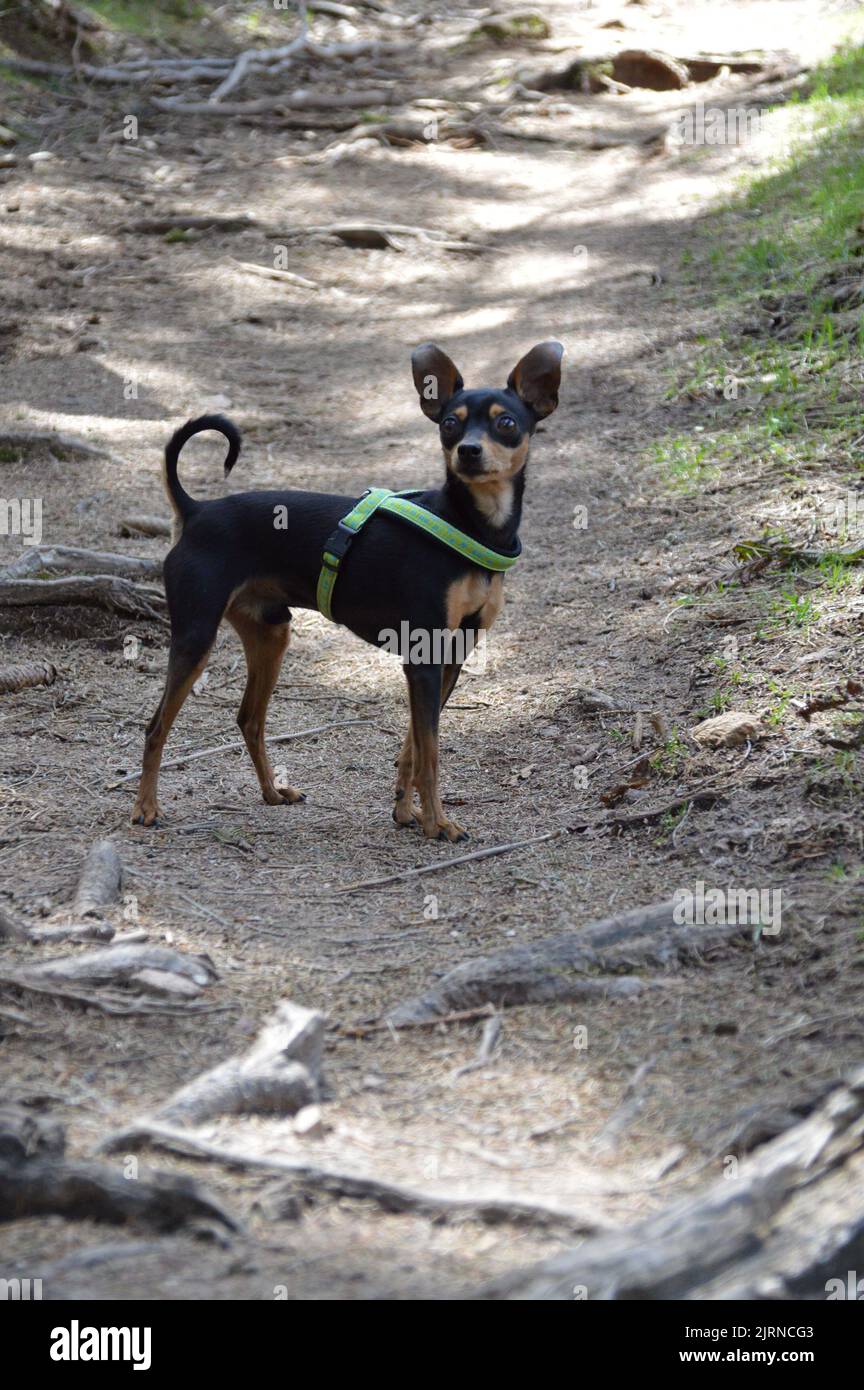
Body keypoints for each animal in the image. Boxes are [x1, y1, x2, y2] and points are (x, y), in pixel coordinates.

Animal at [131, 341, 566, 839]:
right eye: (450, 425)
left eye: (506, 423)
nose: (469, 451)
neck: (471, 525)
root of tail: (196, 510)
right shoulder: (424, 657)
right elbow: (431, 753)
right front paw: (438, 823)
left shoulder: (451, 656)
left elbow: (413, 746)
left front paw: (406, 811)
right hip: (196, 635)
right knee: (155, 727)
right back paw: (145, 807)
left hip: (271, 633)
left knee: (249, 719)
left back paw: (272, 792)